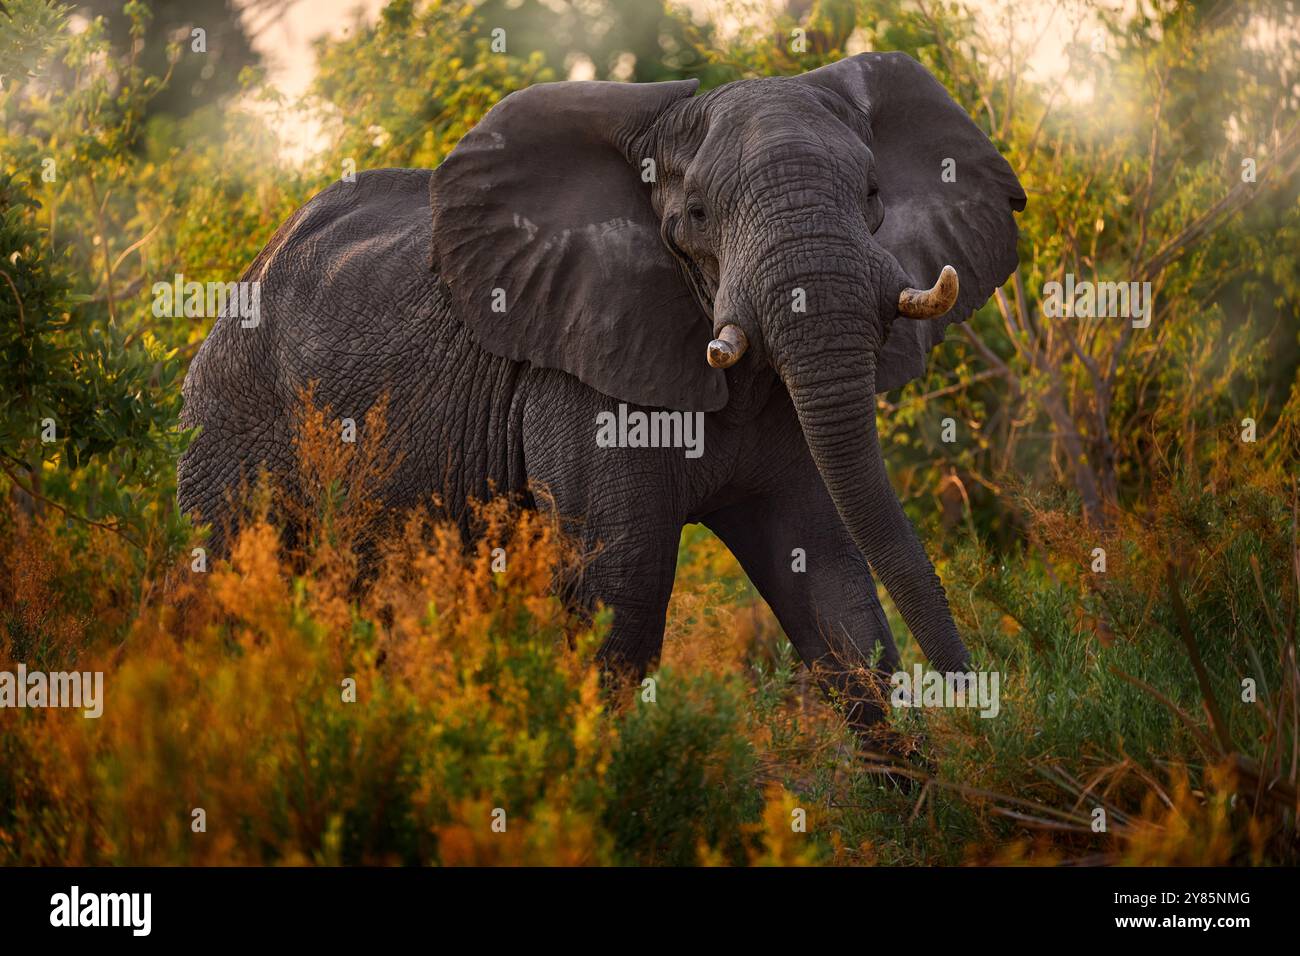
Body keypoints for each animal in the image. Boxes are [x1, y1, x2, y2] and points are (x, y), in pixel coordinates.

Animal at [177, 52, 1025, 736]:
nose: (981, 709)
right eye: (696, 217)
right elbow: (622, 599)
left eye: (875, 194)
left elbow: (833, 587)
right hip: (229, 420)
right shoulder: (576, 378)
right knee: (226, 599)